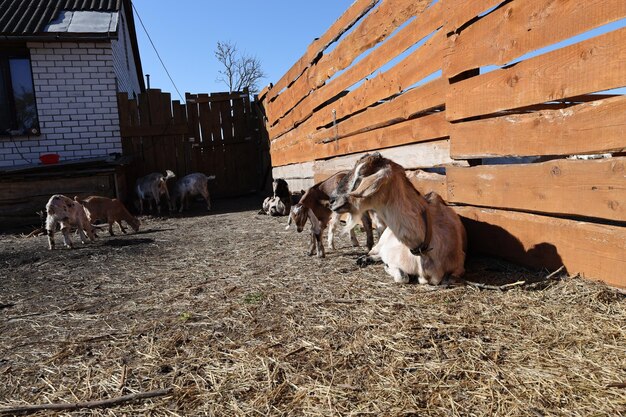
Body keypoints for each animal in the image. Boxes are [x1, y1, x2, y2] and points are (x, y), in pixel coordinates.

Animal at [330, 154, 466, 286]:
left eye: (361, 174)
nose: (331, 200)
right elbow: (402, 277)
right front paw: (387, 267)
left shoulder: (459, 268)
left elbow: (447, 280)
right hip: (380, 243)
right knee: (373, 252)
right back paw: (363, 259)